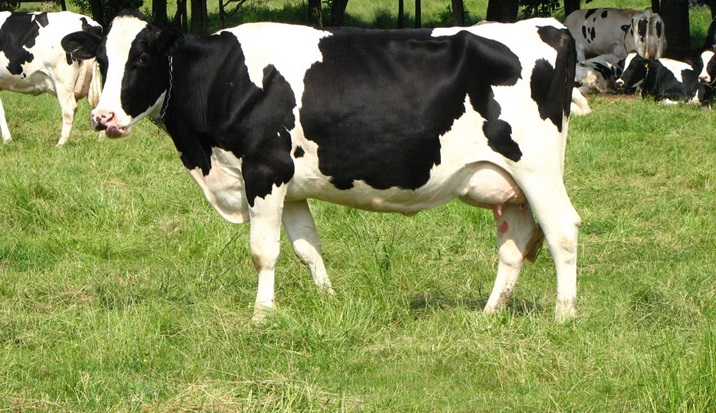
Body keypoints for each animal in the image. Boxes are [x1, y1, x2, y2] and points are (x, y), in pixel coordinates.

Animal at [0, 11, 102, 146]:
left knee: (69, 109)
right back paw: (101, 139)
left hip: (62, 80)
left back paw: (61, 144)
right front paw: (7, 140)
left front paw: (6, 140)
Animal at [61, 10, 581, 322]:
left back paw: (564, 314)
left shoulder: (264, 170)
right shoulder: (289, 185)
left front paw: (261, 316)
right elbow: (307, 248)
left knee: (562, 231)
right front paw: (328, 301)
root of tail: (547, 26)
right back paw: (491, 313)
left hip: (537, 170)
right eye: (102, 59)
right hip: (507, 185)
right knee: (514, 245)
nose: (103, 117)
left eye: (143, 58)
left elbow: (263, 251)